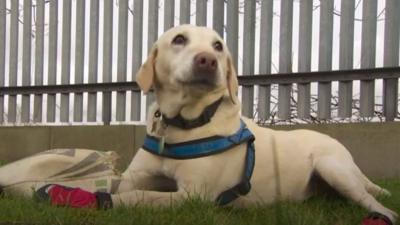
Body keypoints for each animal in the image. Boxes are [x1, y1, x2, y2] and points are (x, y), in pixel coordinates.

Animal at [111, 25, 396, 223]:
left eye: (218, 46)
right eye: (179, 39)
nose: (208, 60)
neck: (182, 124)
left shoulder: (192, 195)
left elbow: (139, 195)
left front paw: (112, 201)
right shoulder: (133, 176)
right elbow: (117, 184)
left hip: (333, 168)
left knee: (375, 202)